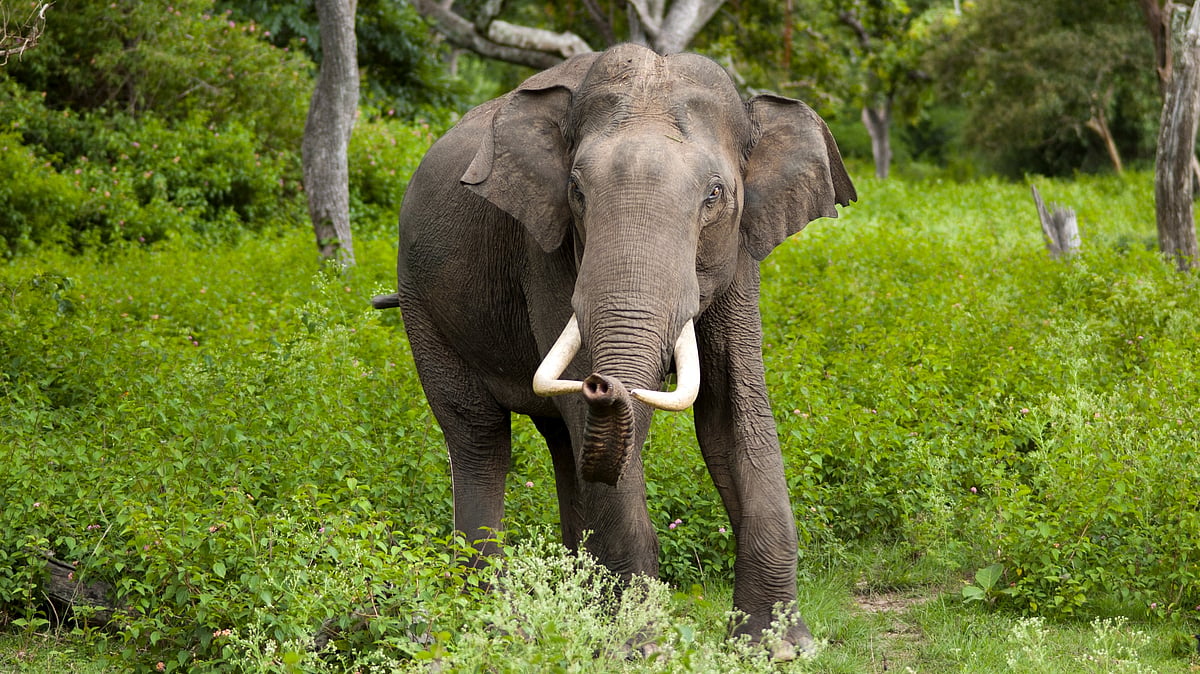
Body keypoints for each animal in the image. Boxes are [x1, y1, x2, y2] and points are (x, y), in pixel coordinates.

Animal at [372, 43, 855, 657]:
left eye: (714, 195)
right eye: (577, 191)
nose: (604, 383)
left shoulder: (741, 251)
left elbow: (731, 413)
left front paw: (778, 647)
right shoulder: (546, 249)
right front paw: (639, 648)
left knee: (562, 443)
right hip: (421, 304)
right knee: (479, 436)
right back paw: (496, 621)